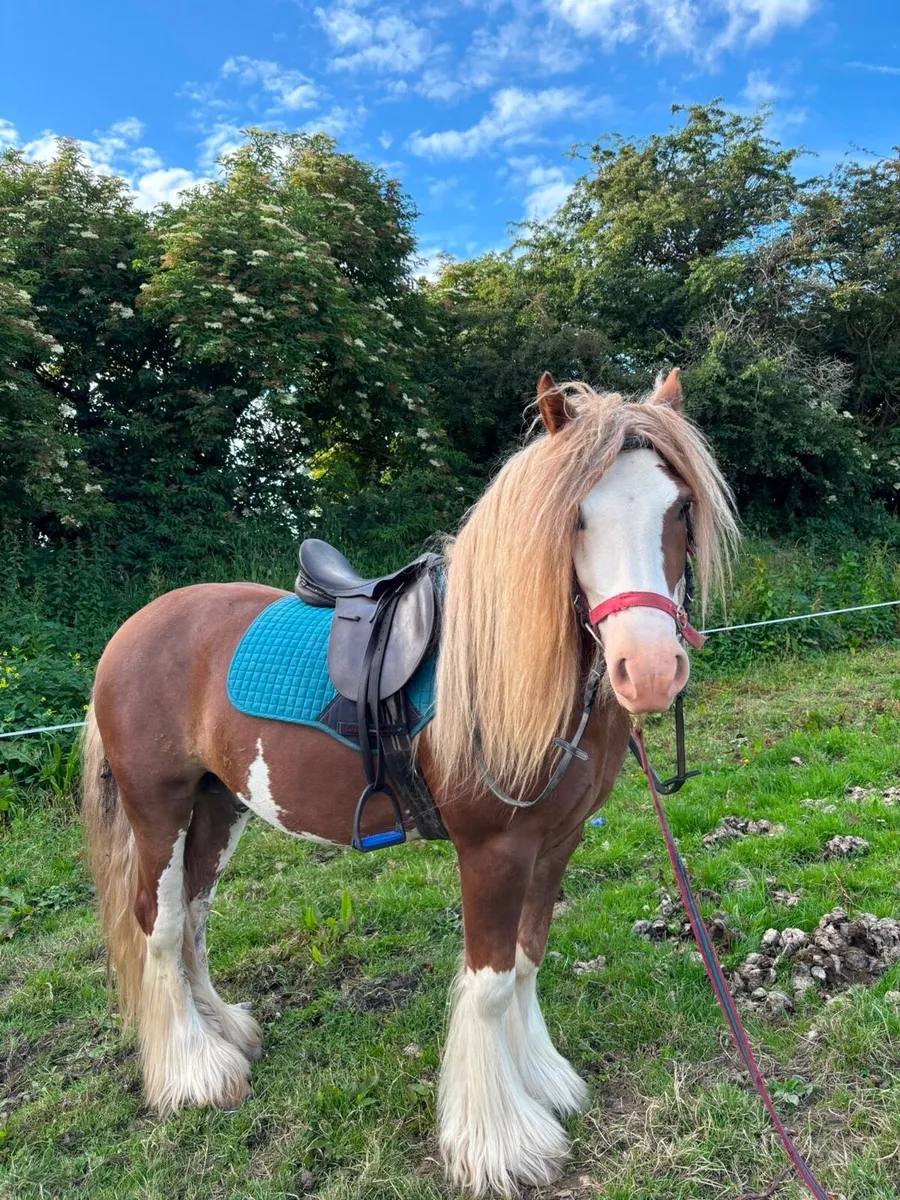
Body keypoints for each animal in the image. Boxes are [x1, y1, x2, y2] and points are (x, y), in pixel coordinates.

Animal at [82, 369, 737, 1196]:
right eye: (577, 517)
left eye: (678, 507)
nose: (647, 671)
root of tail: (132, 631)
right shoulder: (492, 853)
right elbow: (490, 983)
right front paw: (501, 1144)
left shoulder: (555, 844)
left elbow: (528, 957)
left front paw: (545, 1081)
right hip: (157, 810)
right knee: (161, 926)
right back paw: (195, 1073)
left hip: (217, 807)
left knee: (194, 914)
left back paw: (226, 1030)